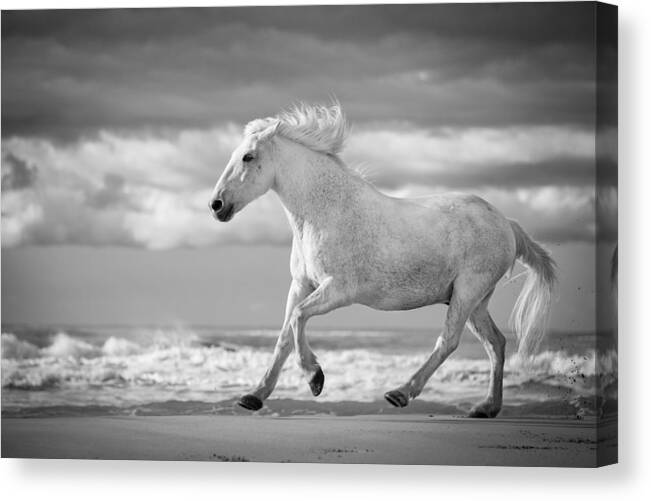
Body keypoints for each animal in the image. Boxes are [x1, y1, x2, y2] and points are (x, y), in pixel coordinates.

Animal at [210, 102, 556, 418]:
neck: (324, 212)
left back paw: (400, 393)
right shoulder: (301, 285)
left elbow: (297, 318)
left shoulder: (338, 290)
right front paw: (254, 396)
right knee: (496, 343)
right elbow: (283, 337)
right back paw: (486, 408)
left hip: (467, 293)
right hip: (475, 301)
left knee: (449, 341)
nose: (216, 205)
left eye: (248, 156)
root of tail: (507, 223)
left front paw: (315, 378)